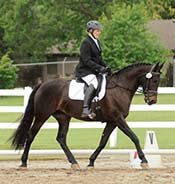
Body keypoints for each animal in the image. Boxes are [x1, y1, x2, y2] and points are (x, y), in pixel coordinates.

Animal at [11, 63, 163, 168]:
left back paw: (74, 162)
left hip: (63, 117)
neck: (120, 88)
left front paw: (91, 162)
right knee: (31, 135)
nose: (152, 101)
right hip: (42, 115)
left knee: (61, 138)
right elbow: (134, 137)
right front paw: (144, 161)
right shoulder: (118, 118)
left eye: (158, 81)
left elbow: (103, 141)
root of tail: (42, 84)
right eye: (154, 80)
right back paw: (23, 162)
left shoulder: (112, 121)